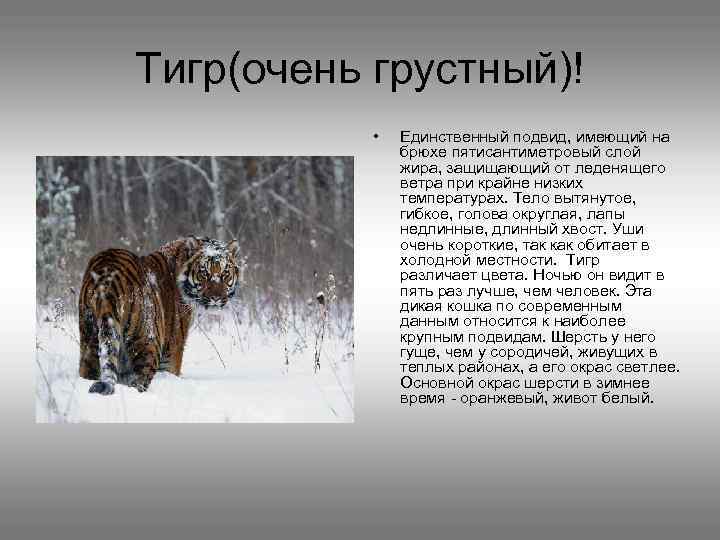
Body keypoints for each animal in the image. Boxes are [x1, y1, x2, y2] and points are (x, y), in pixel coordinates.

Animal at [78, 236, 240, 395]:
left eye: (225, 274)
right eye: (204, 273)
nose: (216, 298)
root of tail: (109, 270)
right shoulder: (171, 353)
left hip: (89, 338)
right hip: (147, 342)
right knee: (138, 381)